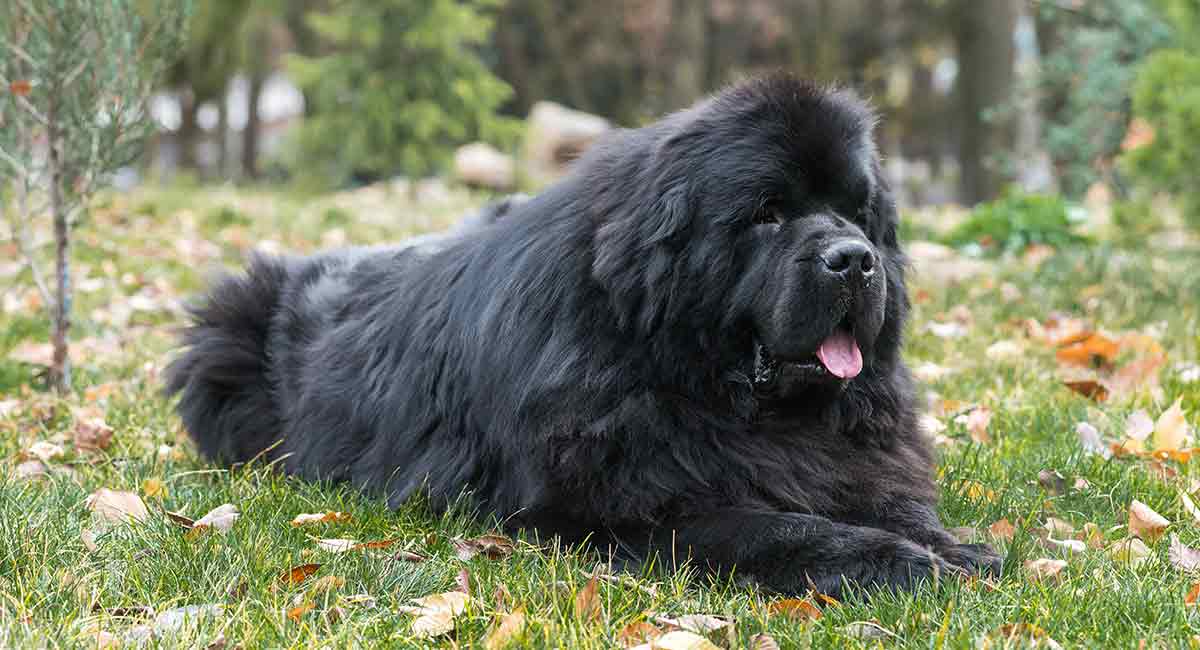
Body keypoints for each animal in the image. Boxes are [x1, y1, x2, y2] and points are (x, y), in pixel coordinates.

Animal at [164, 73, 998, 599]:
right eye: (767, 213)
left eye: (858, 212)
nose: (853, 259)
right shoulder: (627, 505)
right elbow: (773, 525)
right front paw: (896, 562)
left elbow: (883, 496)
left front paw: (953, 546)